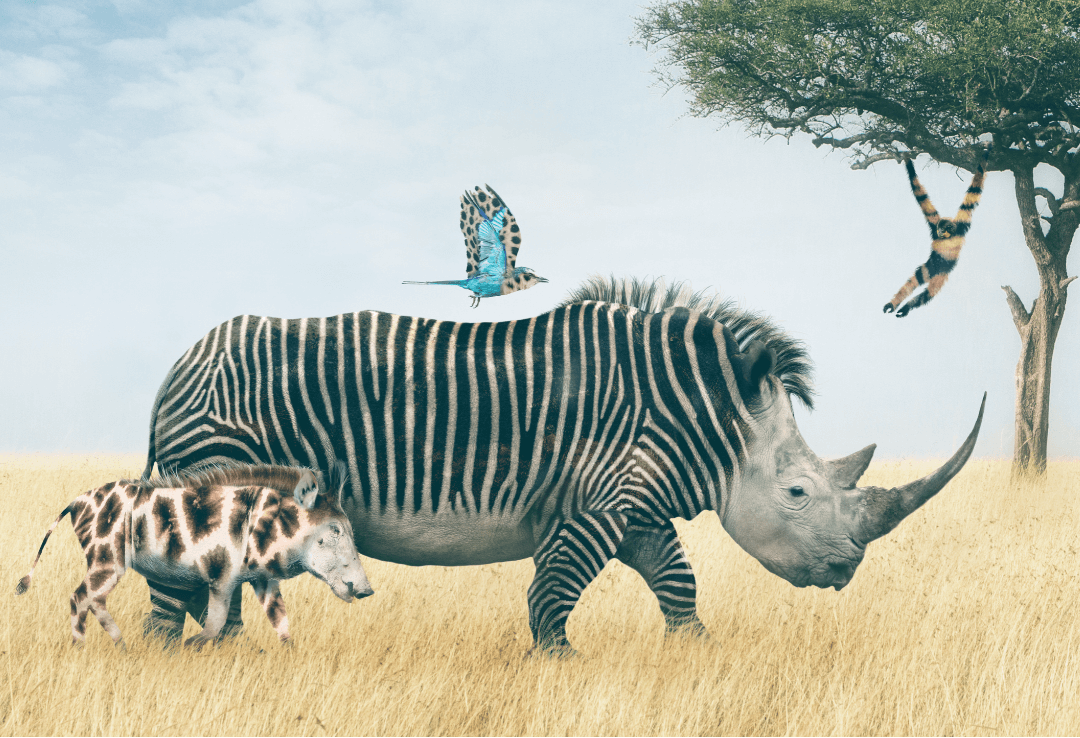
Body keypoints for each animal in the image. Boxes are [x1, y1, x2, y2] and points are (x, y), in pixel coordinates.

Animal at [139, 275, 984, 653]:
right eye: (801, 492)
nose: (847, 571)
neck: (695, 419)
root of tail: (178, 368)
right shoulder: (592, 507)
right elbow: (551, 597)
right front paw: (560, 667)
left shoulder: (636, 508)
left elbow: (678, 584)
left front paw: (698, 654)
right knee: (180, 584)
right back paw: (182, 660)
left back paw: (216, 657)